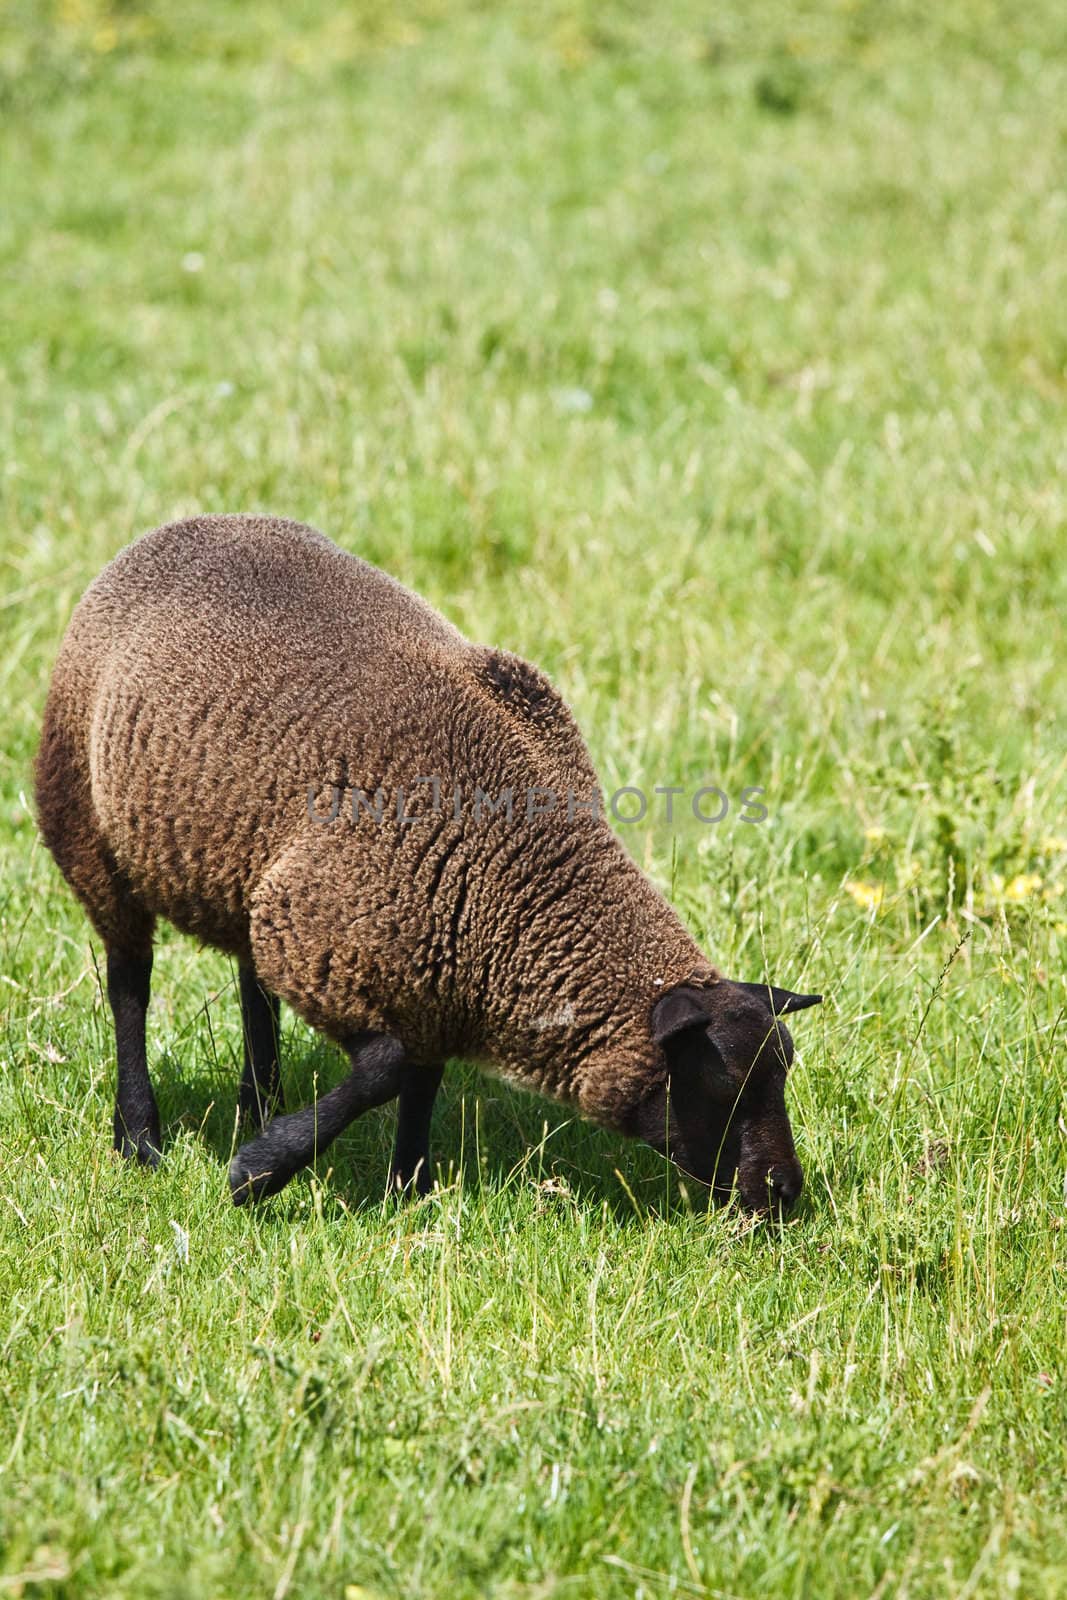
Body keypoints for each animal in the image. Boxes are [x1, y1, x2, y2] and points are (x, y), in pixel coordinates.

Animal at [33, 512, 819, 1209]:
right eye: (723, 1087)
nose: (786, 1194)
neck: (515, 879)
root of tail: (183, 524)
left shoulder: (433, 975)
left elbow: (420, 1078)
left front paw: (407, 1186)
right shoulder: (333, 938)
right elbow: (384, 1070)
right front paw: (260, 1170)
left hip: (246, 873)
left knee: (250, 983)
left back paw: (257, 1101)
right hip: (87, 830)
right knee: (128, 984)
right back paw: (140, 1135)